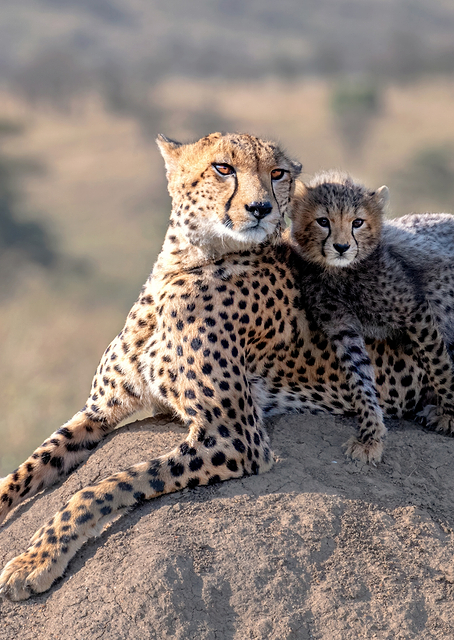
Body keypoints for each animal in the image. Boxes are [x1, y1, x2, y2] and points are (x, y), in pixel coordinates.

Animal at [0, 133, 434, 601]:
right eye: (223, 168)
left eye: (277, 173)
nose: (261, 208)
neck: (185, 263)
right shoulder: (99, 411)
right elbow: (26, 468)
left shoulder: (234, 437)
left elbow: (106, 485)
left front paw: (35, 560)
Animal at [289, 170, 454, 463]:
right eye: (323, 221)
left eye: (357, 222)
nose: (342, 247)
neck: (342, 274)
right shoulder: (342, 328)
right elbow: (360, 378)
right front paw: (370, 435)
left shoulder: (414, 311)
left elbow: (438, 363)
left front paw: (449, 414)